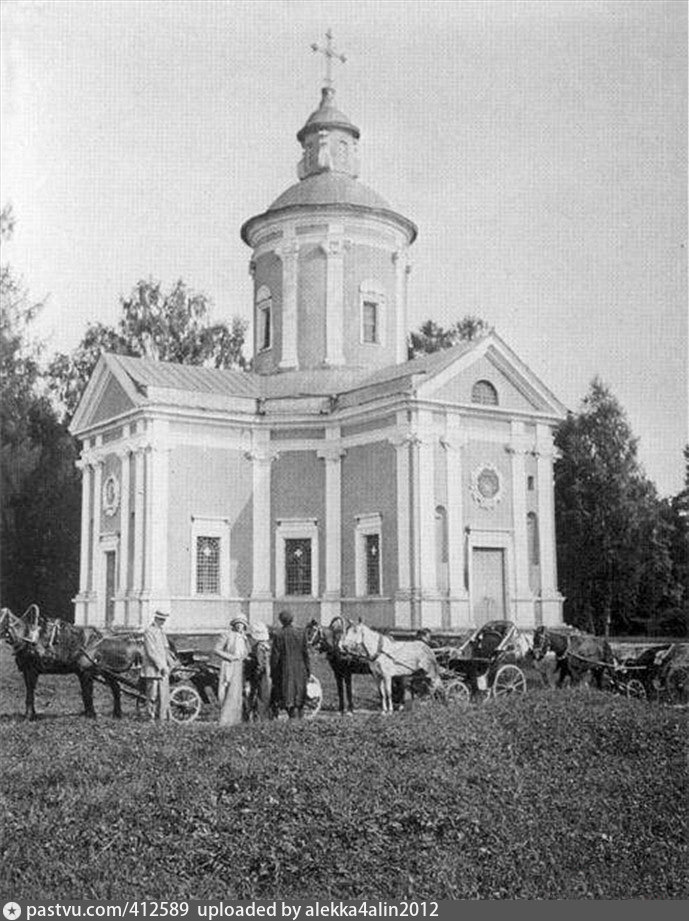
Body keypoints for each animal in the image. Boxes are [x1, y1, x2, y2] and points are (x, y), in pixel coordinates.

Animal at [0, 604, 141, 720]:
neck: (27, 637)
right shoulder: (29, 671)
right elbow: (30, 692)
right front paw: (31, 714)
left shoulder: (85, 672)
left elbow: (87, 693)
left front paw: (91, 714)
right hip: (107, 672)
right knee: (116, 688)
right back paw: (117, 714)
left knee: (115, 689)